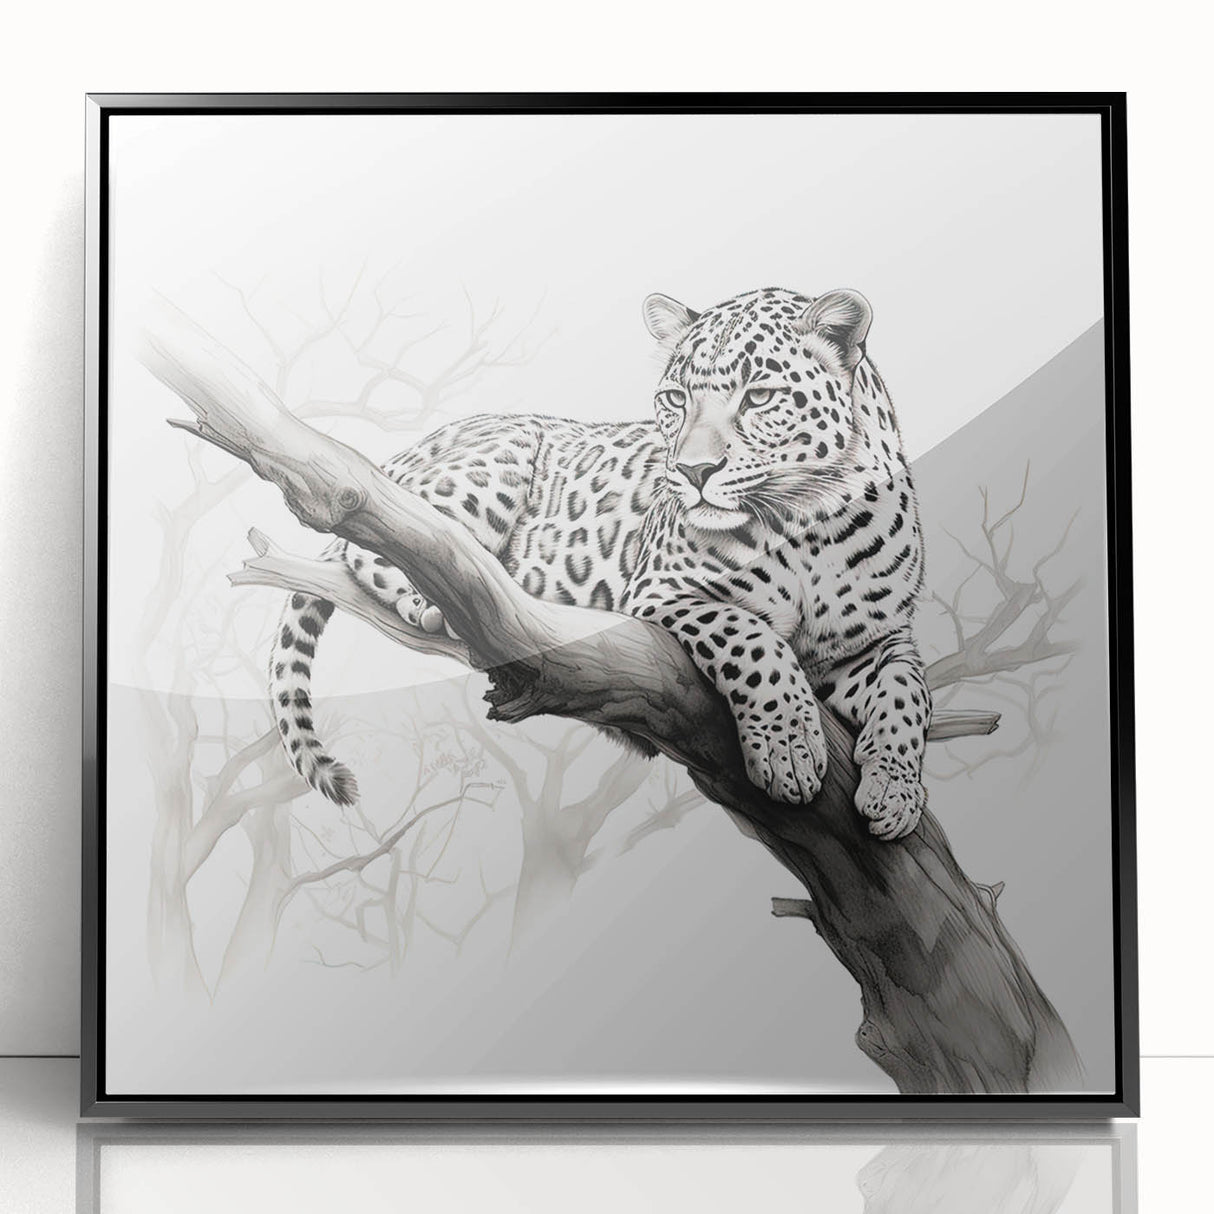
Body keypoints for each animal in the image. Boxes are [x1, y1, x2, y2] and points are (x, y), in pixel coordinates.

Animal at [269, 286, 931, 839]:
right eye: (674, 400)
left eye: (760, 397)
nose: (692, 471)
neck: (809, 527)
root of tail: (410, 448)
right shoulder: (663, 590)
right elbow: (752, 639)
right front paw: (787, 749)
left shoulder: (875, 639)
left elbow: (908, 694)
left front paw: (896, 793)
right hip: (490, 465)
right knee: (383, 538)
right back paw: (439, 598)